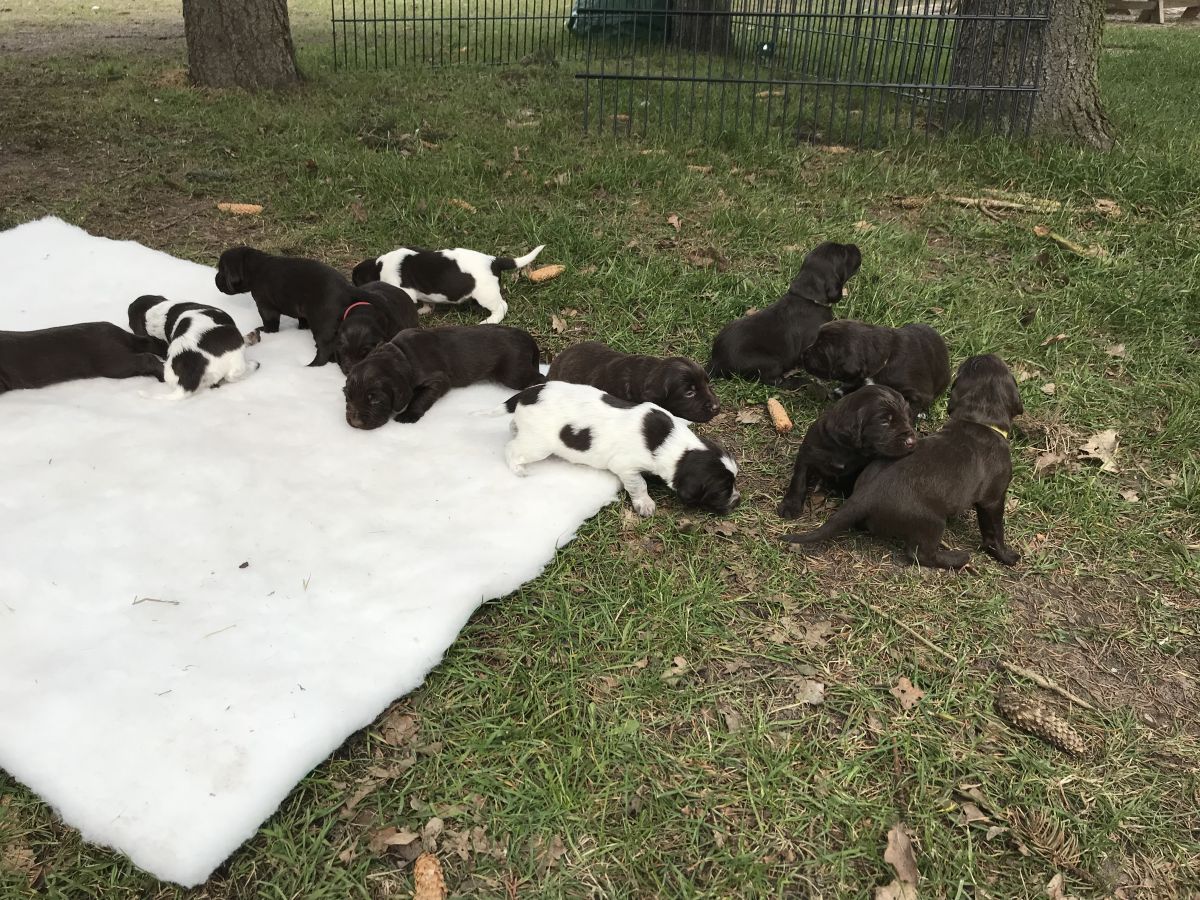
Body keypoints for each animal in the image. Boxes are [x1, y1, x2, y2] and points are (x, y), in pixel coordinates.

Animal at [350, 243, 544, 324]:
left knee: (501, 308)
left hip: (485, 294)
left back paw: (489, 321)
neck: (379, 266)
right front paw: (424, 310)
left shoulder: (403, 290)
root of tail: (494, 261)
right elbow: (427, 302)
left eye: (356, 281)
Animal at [487, 381, 739, 518]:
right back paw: (518, 469)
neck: (669, 441)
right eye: (721, 490)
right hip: (538, 445)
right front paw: (645, 504)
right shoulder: (626, 467)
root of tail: (526, 393)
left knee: (513, 427)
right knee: (511, 448)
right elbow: (639, 485)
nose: (737, 500)